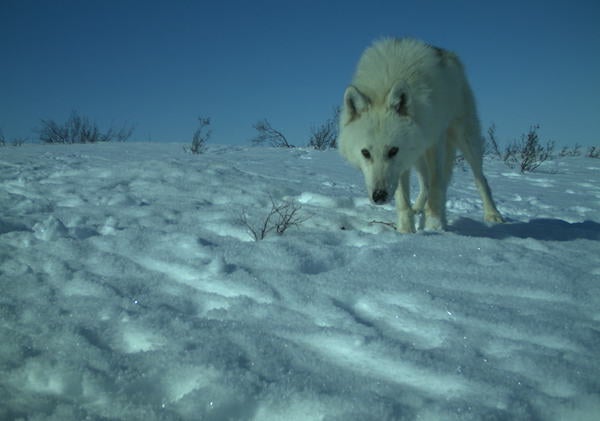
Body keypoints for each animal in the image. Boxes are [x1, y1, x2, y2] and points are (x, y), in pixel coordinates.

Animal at [340, 37, 504, 231]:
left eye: (393, 151)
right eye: (365, 153)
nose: (379, 196)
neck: (389, 78)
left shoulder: (434, 142)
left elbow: (436, 185)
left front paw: (435, 225)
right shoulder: (404, 161)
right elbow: (403, 199)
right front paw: (406, 230)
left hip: (465, 138)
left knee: (479, 179)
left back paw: (492, 214)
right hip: (418, 156)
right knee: (425, 184)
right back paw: (418, 209)